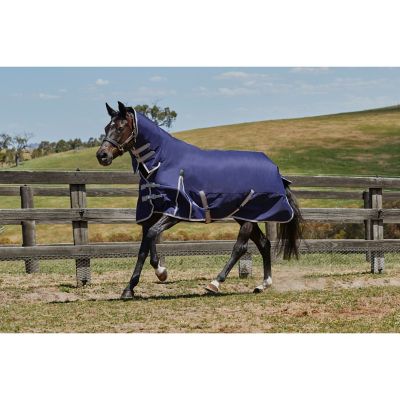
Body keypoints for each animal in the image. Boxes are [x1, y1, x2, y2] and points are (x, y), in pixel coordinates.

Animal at [97, 101, 302, 298]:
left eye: (121, 127)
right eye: (107, 127)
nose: (102, 155)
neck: (162, 162)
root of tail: (276, 170)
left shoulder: (176, 212)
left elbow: (149, 237)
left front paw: (141, 282)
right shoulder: (153, 211)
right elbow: (147, 243)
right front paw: (150, 277)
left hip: (250, 216)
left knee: (241, 247)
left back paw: (215, 283)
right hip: (246, 215)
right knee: (264, 244)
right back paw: (263, 285)